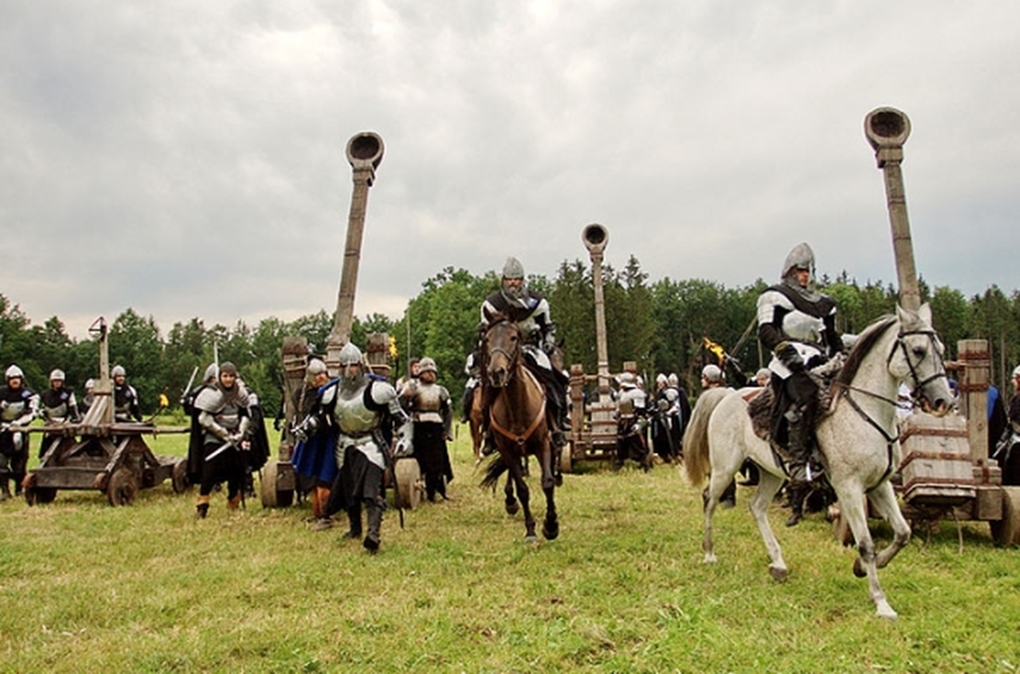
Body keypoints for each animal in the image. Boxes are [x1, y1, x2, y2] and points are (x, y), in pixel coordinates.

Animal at [478, 315, 559, 543]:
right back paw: (510, 501)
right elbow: (522, 488)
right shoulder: (506, 450)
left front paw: (551, 526)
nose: (496, 372)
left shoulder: (543, 445)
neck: (517, 406)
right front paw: (531, 531)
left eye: (513, 337)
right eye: (487, 339)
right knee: (513, 476)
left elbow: (547, 483)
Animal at [684, 304, 952, 619]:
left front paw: (863, 568)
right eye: (918, 350)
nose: (944, 402)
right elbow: (866, 543)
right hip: (726, 467)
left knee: (757, 507)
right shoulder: (849, 488)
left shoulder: (879, 485)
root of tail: (726, 394)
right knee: (709, 499)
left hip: (771, 472)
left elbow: (903, 533)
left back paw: (778, 563)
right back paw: (709, 552)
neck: (864, 414)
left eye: (941, 349)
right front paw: (881, 601)